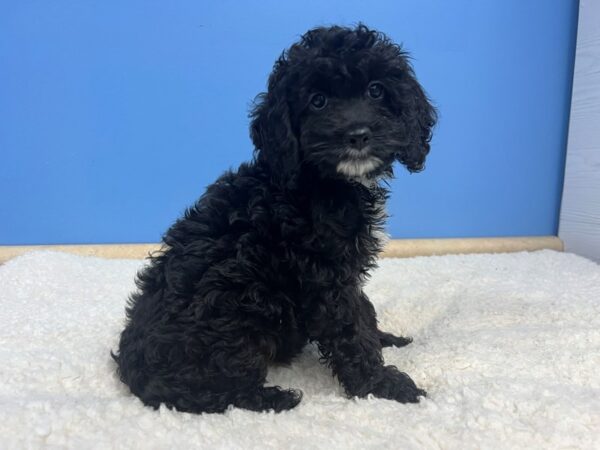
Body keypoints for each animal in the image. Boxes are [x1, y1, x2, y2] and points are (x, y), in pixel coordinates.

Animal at [113, 23, 436, 412]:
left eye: (376, 90)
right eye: (317, 101)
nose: (357, 135)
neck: (320, 182)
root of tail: (134, 373)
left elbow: (364, 309)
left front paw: (385, 338)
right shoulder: (323, 274)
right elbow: (349, 329)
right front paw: (384, 386)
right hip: (234, 310)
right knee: (219, 391)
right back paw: (277, 398)